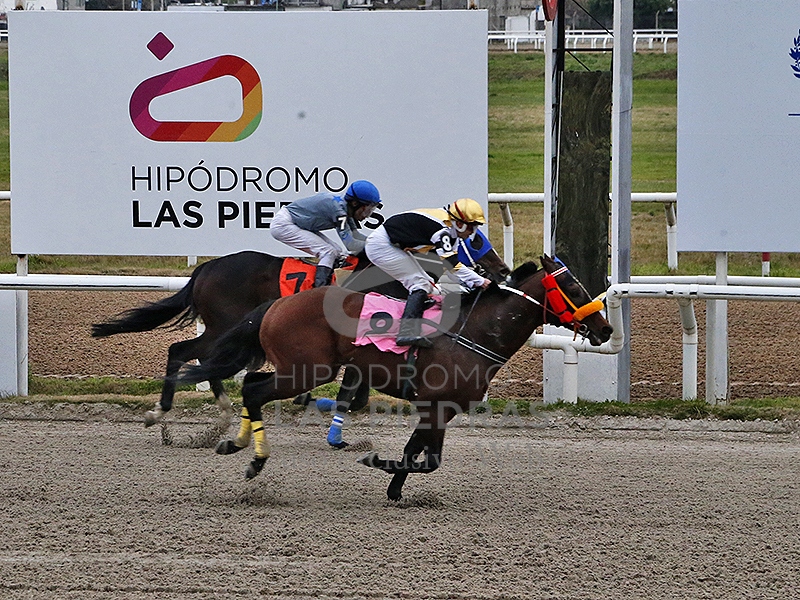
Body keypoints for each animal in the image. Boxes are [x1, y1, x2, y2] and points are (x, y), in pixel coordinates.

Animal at [91, 230, 510, 428]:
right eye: (475, 239)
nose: (503, 270)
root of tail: (207, 267)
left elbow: (356, 394)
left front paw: (310, 401)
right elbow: (352, 391)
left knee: (199, 359)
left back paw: (220, 410)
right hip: (223, 326)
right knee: (185, 352)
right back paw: (165, 411)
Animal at [172, 255, 613, 500]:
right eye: (573, 287)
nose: (606, 329)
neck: (473, 331)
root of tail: (277, 304)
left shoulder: (438, 408)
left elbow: (415, 452)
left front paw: (394, 488)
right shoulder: (437, 407)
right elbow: (428, 460)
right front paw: (375, 461)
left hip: (299, 369)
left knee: (250, 387)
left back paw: (235, 442)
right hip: (306, 370)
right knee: (255, 390)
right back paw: (252, 458)